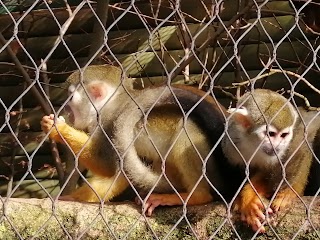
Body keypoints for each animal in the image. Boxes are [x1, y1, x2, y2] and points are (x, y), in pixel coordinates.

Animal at [222, 89, 312, 233]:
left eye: (284, 135)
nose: (277, 146)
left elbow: (296, 152)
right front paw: (243, 199)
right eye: (270, 134)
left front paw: (249, 197)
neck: (253, 143)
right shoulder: (230, 142)